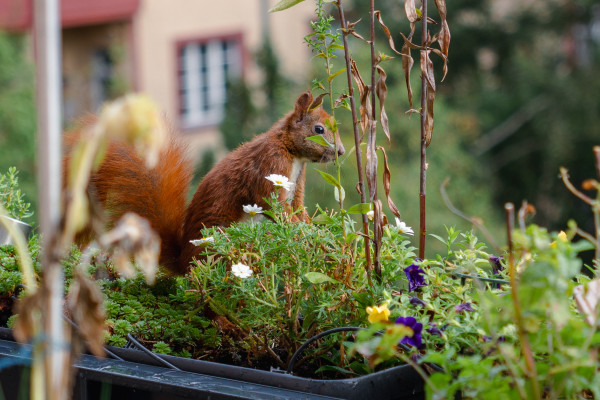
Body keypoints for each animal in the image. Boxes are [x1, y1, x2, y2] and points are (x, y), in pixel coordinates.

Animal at [76, 91, 342, 276]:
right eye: (319, 129)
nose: (340, 151)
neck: (290, 150)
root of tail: (183, 262)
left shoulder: (296, 183)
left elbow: (297, 209)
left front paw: (318, 231)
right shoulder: (270, 166)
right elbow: (277, 208)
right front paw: (310, 235)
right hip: (218, 244)